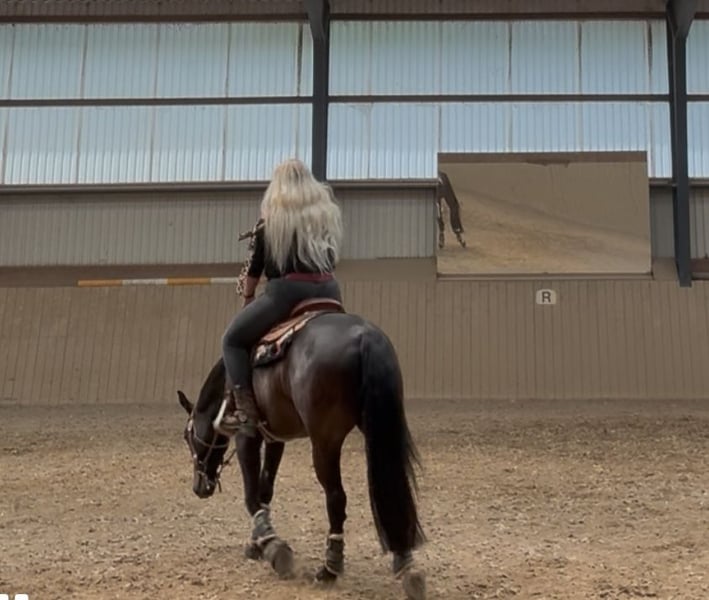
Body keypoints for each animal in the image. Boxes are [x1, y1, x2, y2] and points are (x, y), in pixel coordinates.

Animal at [177, 302, 427, 599]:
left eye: (188, 436)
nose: (198, 487)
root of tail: (364, 336)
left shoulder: (246, 437)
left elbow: (251, 496)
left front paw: (274, 549)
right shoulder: (275, 438)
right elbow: (265, 490)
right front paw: (258, 543)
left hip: (325, 442)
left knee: (336, 497)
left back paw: (330, 568)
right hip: (378, 427)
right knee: (390, 487)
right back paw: (406, 564)